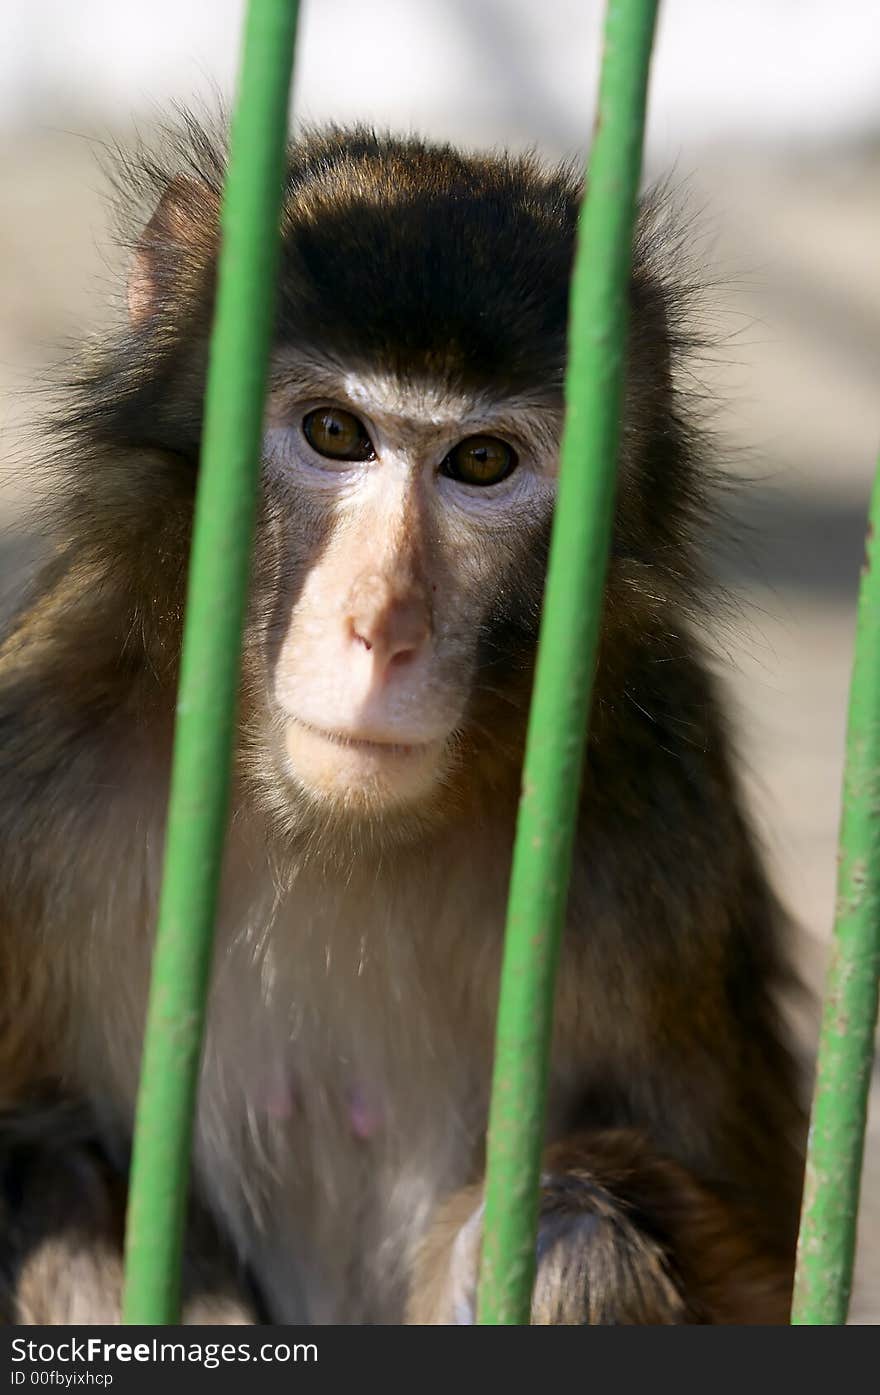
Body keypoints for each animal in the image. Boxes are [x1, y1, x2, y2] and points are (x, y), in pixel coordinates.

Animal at [0, 117, 803, 1316]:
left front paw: (497, 1235)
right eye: (335, 432)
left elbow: (762, 1269)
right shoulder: (35, 761)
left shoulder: (662, 843)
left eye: (482, 462)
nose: (379, 626)